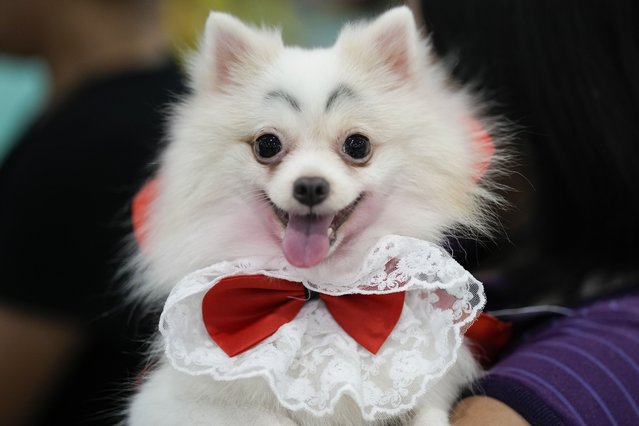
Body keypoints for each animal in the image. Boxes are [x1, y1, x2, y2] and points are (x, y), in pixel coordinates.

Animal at [129, 7, 500, 426]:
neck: (319, 289)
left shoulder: (435, 377)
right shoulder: (168, 401)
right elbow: (266, 417)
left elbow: (430, 409)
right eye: (267, 145)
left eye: (357, 145)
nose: (309, 185)